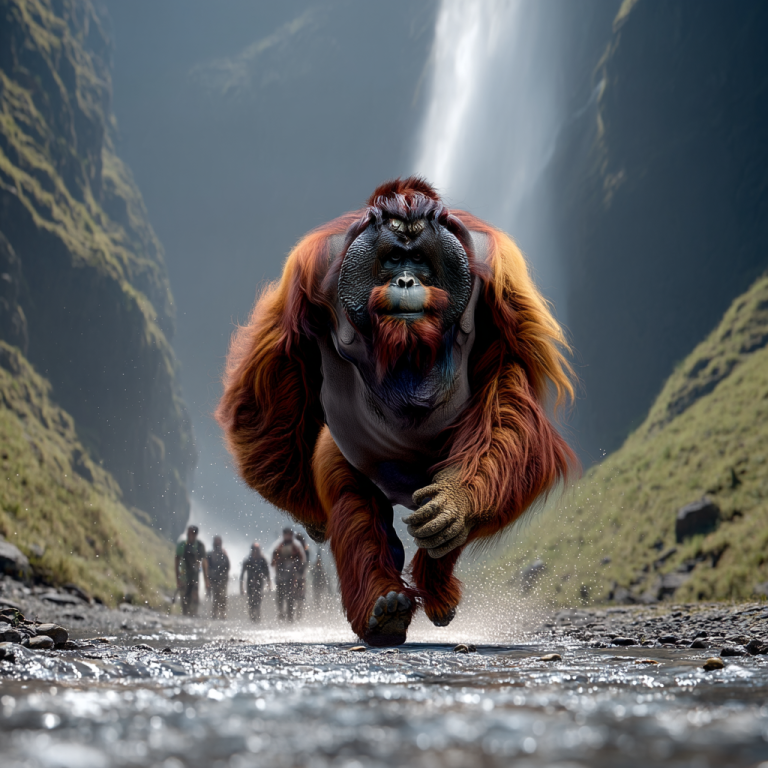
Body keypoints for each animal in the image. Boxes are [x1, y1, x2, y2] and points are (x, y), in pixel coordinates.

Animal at [216, 177, 575, 646]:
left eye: (419, 259)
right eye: (391, 259)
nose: (405, 279)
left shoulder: (501, 275)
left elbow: (507, 386)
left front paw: (455, 504)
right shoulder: (310, 269)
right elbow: (270, 394)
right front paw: (312, 517)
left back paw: (437, 581)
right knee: (352, 500)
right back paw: (383, 608)